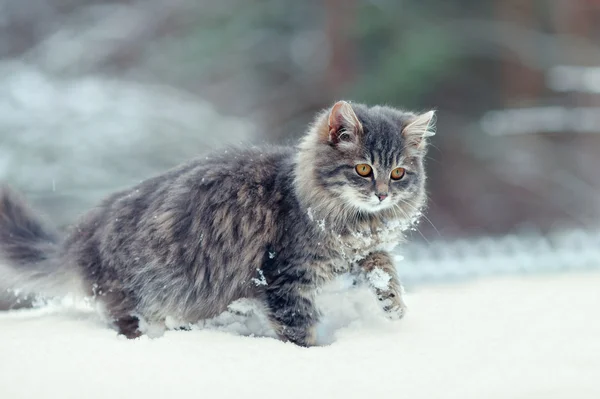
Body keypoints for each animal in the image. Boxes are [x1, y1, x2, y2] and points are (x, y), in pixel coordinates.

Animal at [0, 102, 434, 346]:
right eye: (363, 169)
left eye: (397, 173)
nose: (382, 194)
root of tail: (82, 234)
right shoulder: (285, 278)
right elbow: (300, 330)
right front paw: (311, 357)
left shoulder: (358, 254)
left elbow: (382, 265)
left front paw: (393, 305)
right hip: (136, 297)